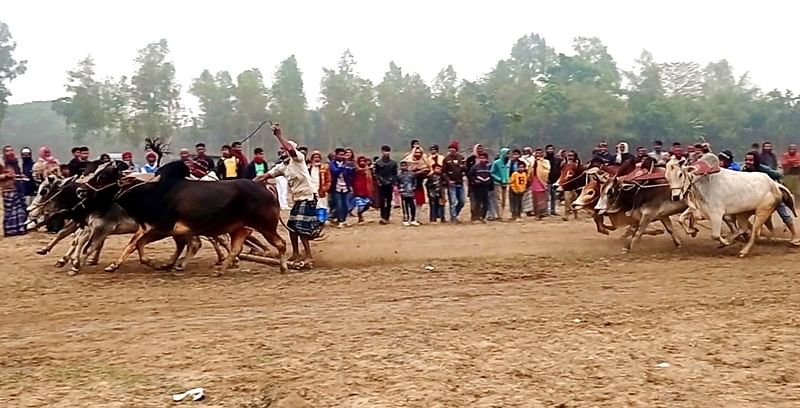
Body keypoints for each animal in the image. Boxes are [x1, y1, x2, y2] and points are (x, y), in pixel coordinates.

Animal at [80, 161, 288, 272]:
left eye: (103, 175)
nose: (81, 190)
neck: (153, 190)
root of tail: (267, 189)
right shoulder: (154, 227)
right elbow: (138, 245)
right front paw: (161, 263)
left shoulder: (173, 227)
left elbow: (191, 243)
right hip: (240, 228)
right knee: (237, 246)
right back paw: (224, 266)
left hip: (266, 226)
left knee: (280, 243)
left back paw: (283, 266)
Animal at [664, 158, 800, 256]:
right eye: (667, 177)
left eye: (680, 174)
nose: (675, 196)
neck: (702, 183)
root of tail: (775, 185)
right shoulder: (700, 210)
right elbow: (680, 219)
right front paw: (693, 231)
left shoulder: (717, 214)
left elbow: (715, 235)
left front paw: (724, 242)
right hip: (743, 213)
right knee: (743, 229)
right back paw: (731, 239)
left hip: (762, 211)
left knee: (754, 232)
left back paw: (743, 251)